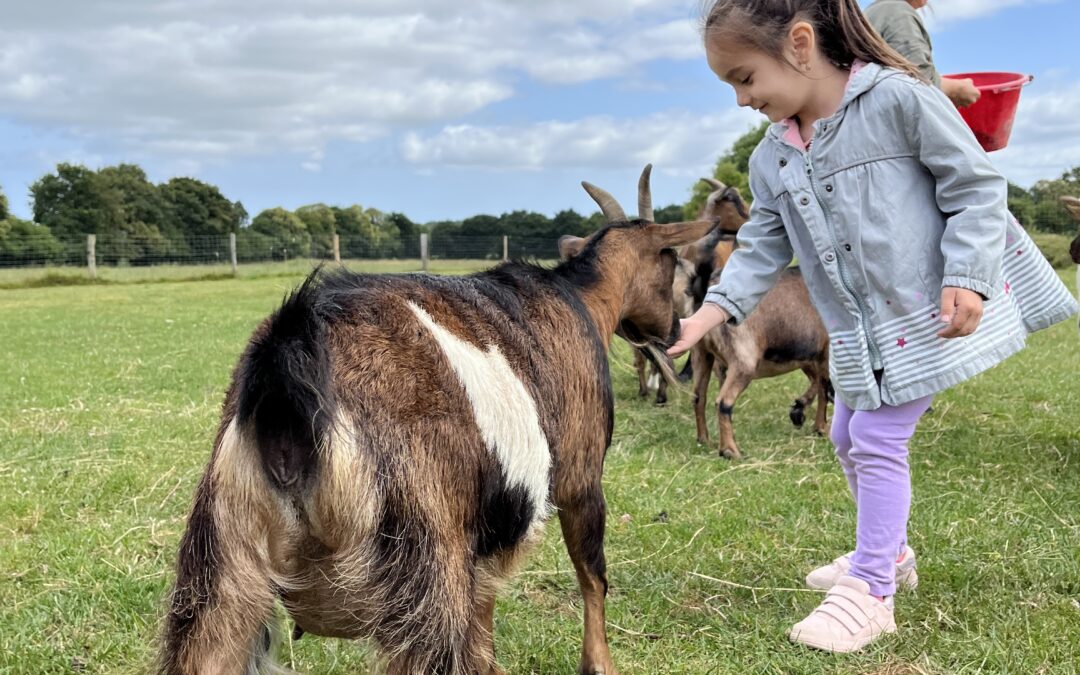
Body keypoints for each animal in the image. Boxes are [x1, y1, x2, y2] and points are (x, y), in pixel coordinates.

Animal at [157, 166, 717, 669]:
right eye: (672, 263)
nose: (674, 330)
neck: (581, 300)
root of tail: (288, 373)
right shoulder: (579, 476)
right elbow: (593, 574)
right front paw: (599, 663)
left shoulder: (486, 539)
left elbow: (485, 623)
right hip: (424, 561)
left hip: (221, 565)